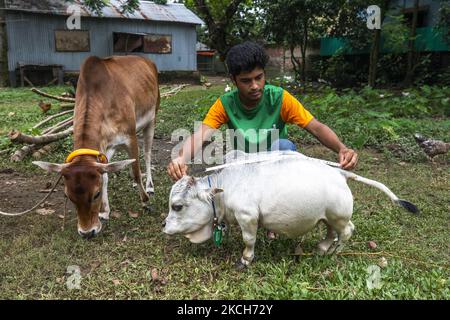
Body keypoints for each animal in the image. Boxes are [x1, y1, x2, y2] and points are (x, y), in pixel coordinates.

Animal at [32, 55, 158, 238]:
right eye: (68, 196)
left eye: (96, 194)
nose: (87, 233)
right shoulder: (104, 148)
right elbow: (105, 176)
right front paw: (105, 212)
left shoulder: (130, 136)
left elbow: (135, 171)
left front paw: (145, 201)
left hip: (152, 119)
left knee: (147, 154)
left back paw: (149, 186)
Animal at [163, 150, 418, 268]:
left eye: (177, 206)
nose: (164, 225)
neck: (225, 188)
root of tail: (340, 173)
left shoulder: (248, 217)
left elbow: (248, 240)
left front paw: (245, 259)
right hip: (329, 217)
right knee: (334, 231)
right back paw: (322, 248)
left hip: (338, 216)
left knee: (346, 232)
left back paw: (333, 253)